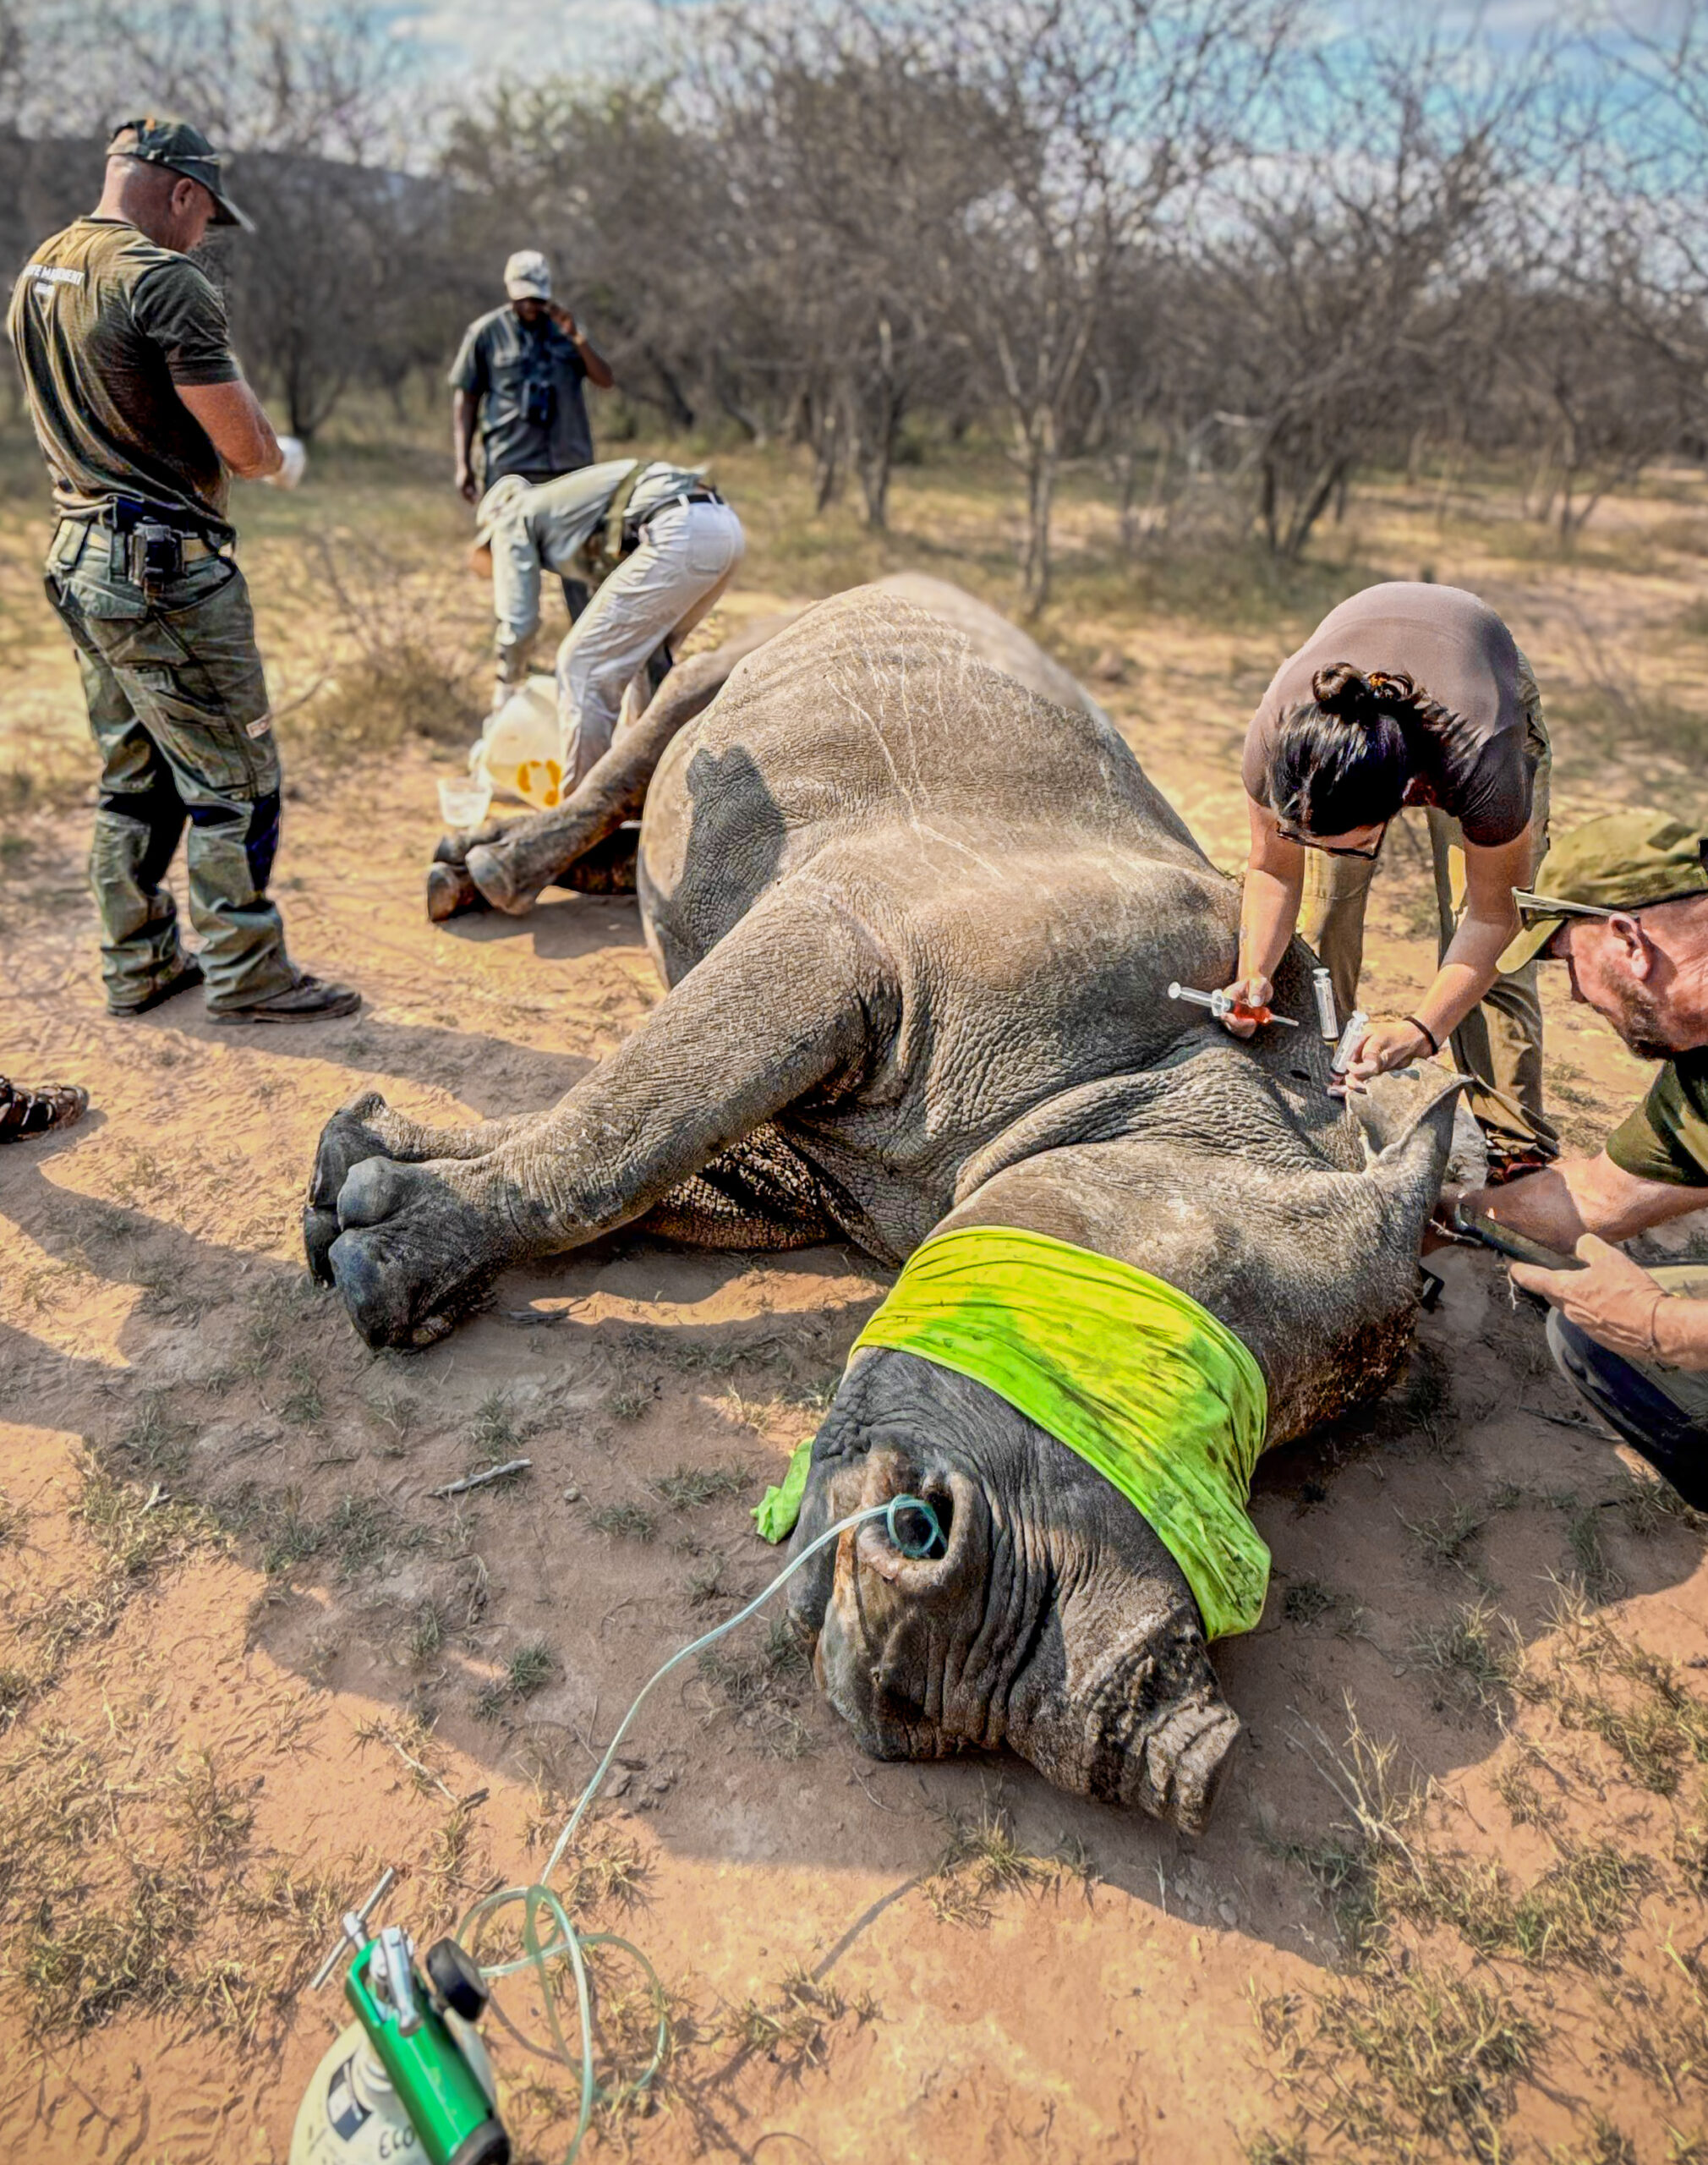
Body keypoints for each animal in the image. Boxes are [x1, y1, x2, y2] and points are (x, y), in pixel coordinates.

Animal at [306, 581, 1457, 1832]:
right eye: (1166, 1370)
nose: (1159, 1750)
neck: (1156, 1086)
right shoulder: (848, 936)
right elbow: (630, 1130)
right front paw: (380, 1268)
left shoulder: (845, 1165)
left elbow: (665, 1155)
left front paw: (358, 1175)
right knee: (670, 710)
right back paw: (478, 877)